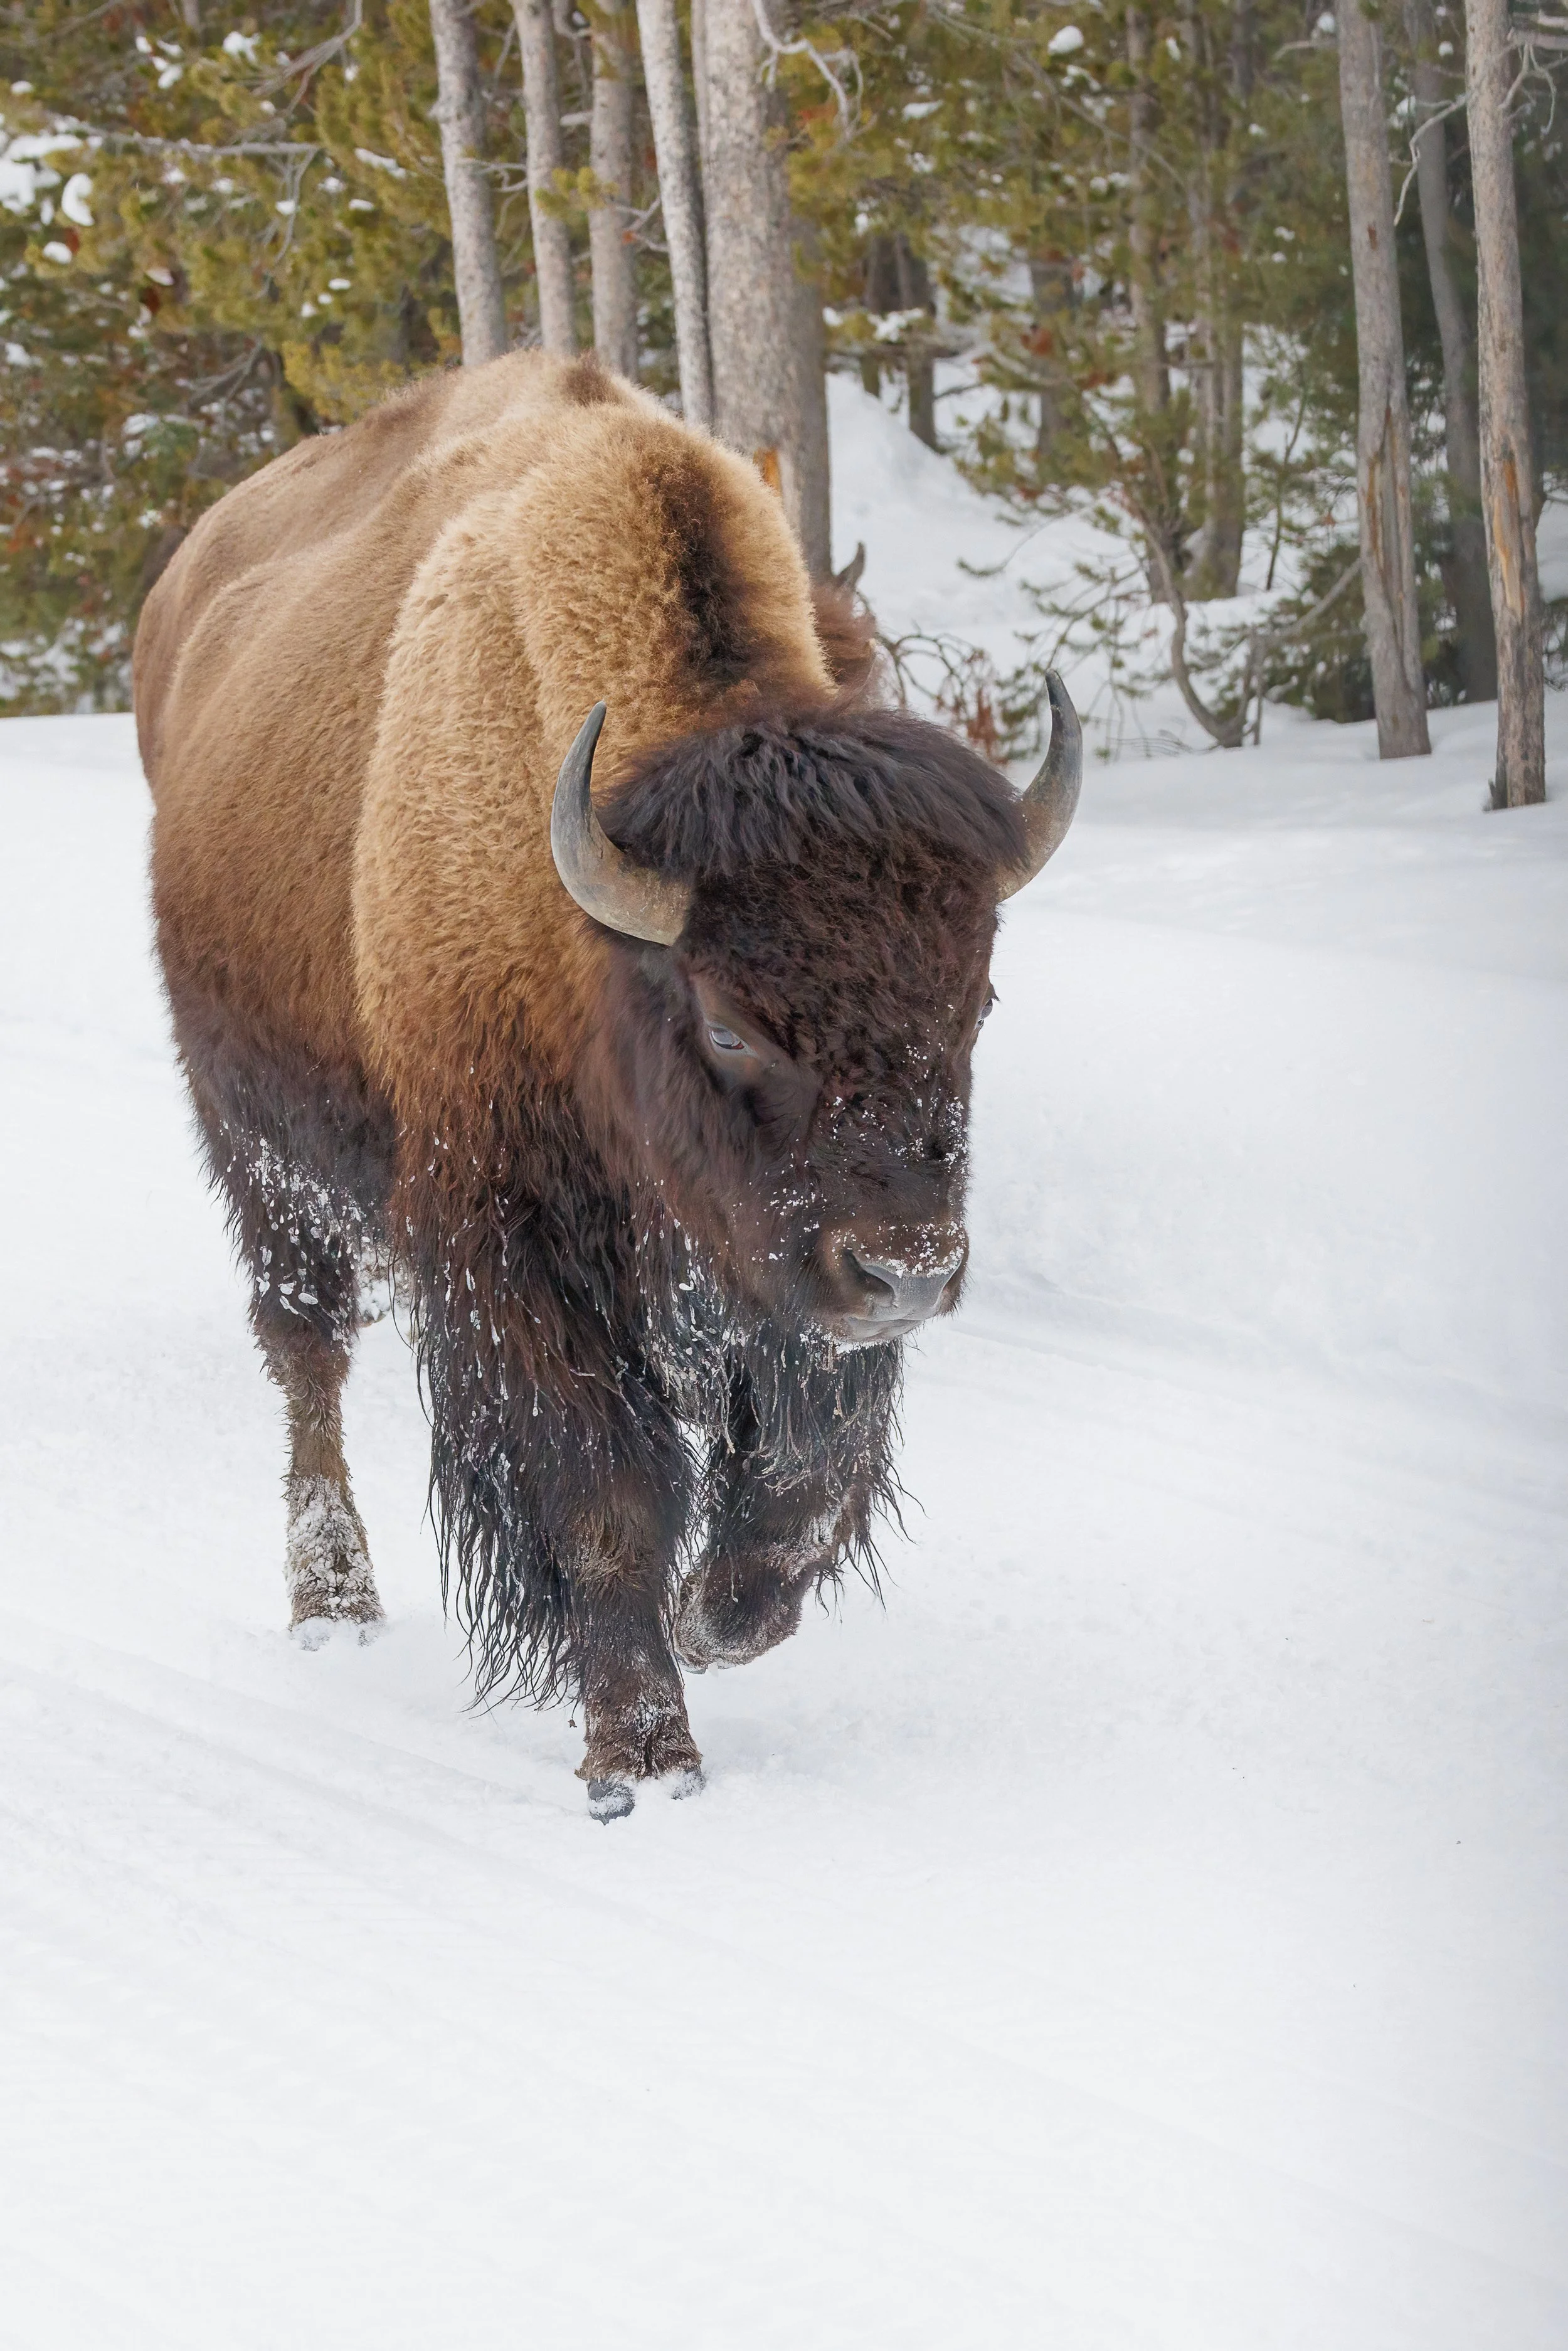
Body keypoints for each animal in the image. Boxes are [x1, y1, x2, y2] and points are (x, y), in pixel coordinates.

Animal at [135, 351, 1080, 1817]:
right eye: (729, 1026)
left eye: (975, 996)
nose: (909, 1270)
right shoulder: (516, 1241)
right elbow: (601, 1490)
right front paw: (641, 1749)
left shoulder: (775, 1274)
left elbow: (803, 1479)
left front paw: (718, 1617)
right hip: (261, 1148)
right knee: (306, 1347)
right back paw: (331, 1601)